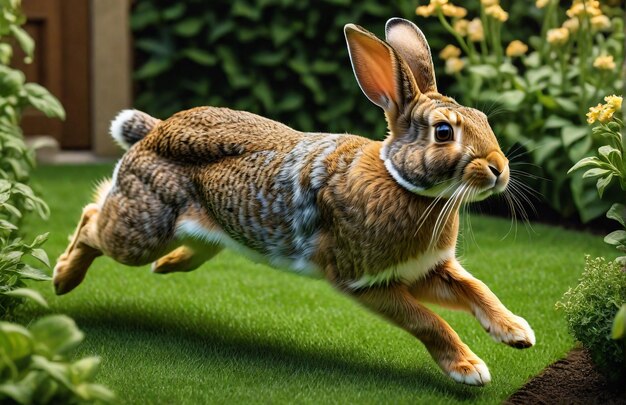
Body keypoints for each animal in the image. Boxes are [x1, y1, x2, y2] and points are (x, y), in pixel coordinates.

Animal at [51, 19, 532, 386]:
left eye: (483, 119)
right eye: (443, 132)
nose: (499, 168)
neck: (400, 180)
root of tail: (153, 133)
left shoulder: (427, 270)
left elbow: (476, 289)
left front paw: (517, 332)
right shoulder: (367, 281)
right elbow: (427, 322)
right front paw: (469, 369)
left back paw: (164, 266)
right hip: (143, 227)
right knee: (93, 219)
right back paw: (62, 278)